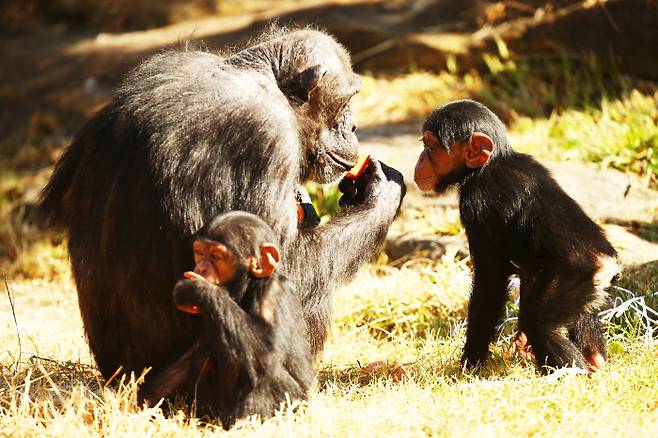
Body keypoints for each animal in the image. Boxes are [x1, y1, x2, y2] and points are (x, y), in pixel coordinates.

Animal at [41, 29, 404, 382]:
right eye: (347, 100)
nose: (354, 125)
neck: (260, 77)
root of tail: (122, 381)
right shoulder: (268, 134)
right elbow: (283, 265)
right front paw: (379, 194)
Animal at [138, 210, 312, 426]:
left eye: (216, 256)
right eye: (200, 253)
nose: (201, 268)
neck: (246, 288)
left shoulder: (274, 293)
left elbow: (268, 350)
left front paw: (196, 289)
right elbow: (194, 351)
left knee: (264, 371)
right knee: (203, 357)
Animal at [412, 99, 616, 372]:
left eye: (431, 146)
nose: (422, 156)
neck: (487, 166)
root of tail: (608, 264)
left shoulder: (477, 203)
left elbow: (490, 282)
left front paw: (470, 365)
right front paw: (520, 343)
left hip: (578, 277)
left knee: (541, 324)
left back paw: (573, 375)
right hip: (592, 286)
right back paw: (597, 362)